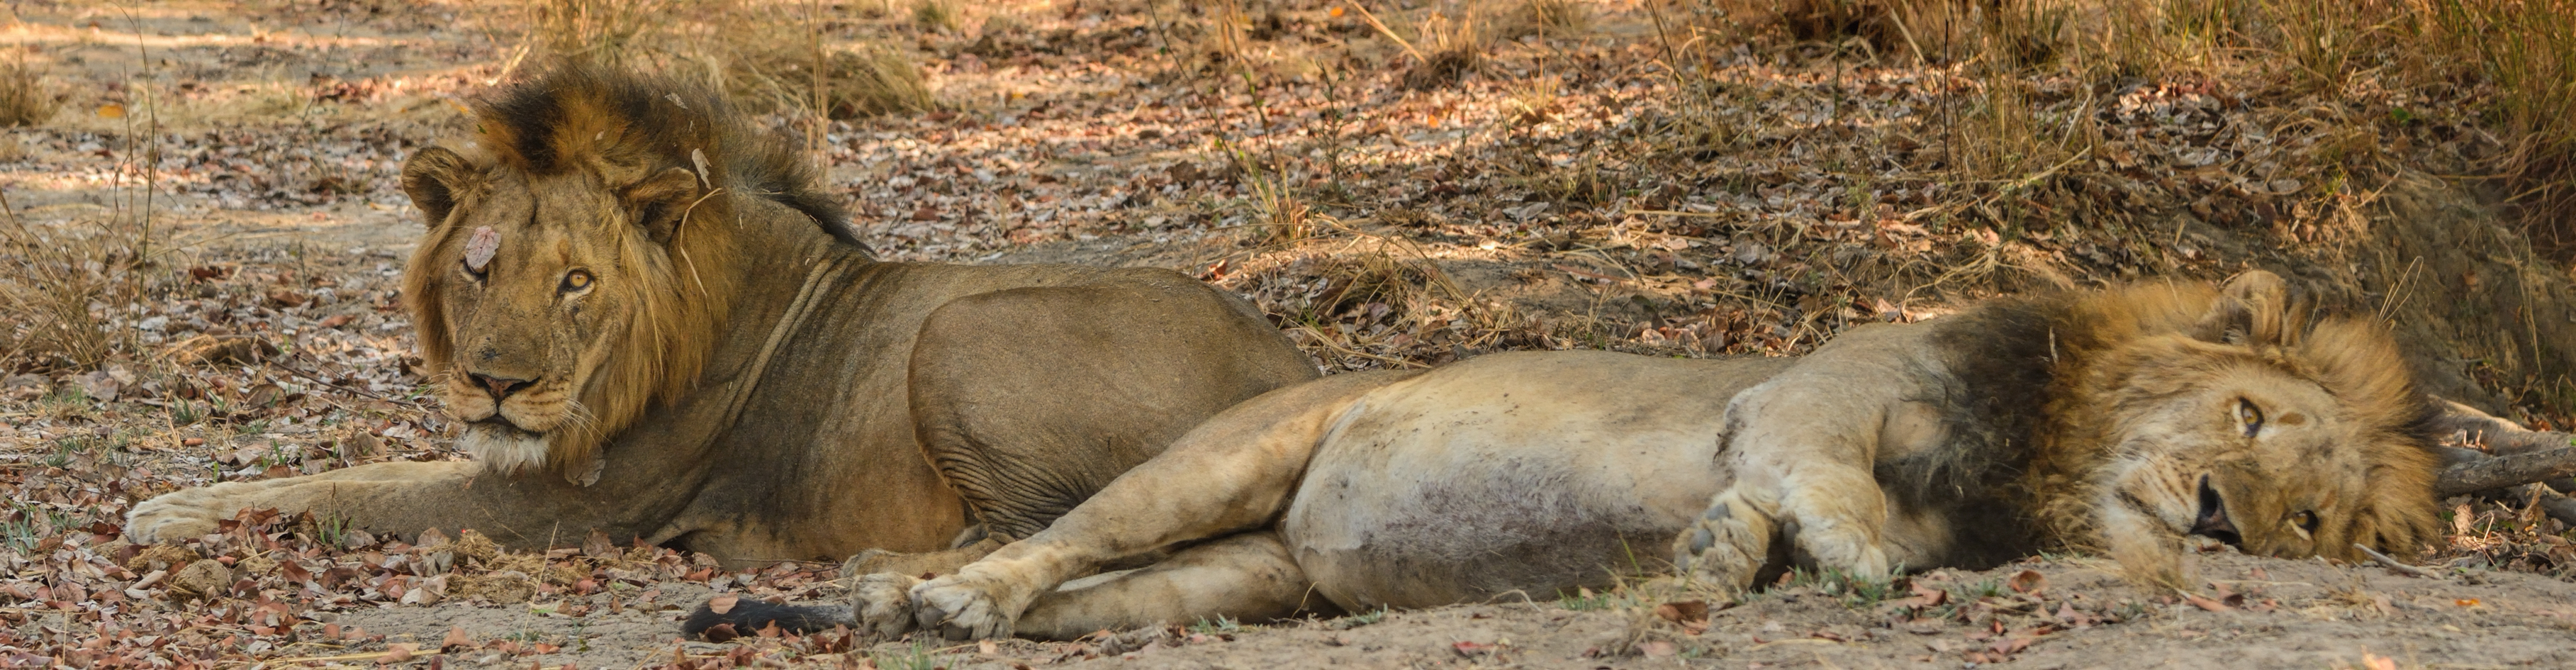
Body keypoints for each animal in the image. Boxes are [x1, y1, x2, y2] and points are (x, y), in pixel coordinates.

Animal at [123, 67, 1318, 569]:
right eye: (477, 268)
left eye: (576, 281)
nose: (495, 384)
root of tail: (1302, 376)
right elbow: (362, 468)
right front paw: (178, 501)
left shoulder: (567, 509)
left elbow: (364, 493)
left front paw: (164, 515)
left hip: (960, 332)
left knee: (1042, 531)